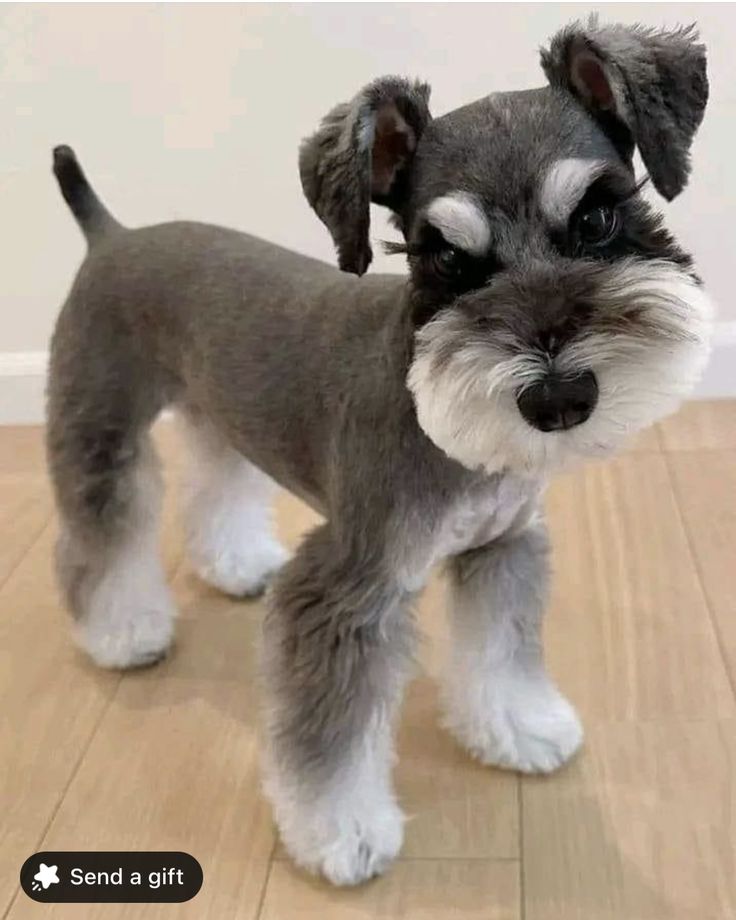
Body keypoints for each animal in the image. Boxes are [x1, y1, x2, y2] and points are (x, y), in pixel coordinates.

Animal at [47, 19, 712, 884]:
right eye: (446, 257)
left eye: (598, 220)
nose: (558, 399)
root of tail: (110, 234)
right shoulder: (348, 588)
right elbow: (330, 737)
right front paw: (341, 832)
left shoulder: (503, 548)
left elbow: (501, 649)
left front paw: (519, 725)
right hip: (100, 423)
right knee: (101, 530)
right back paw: (122, 632)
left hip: (219, 411)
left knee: (217, 480)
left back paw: (236, 565)